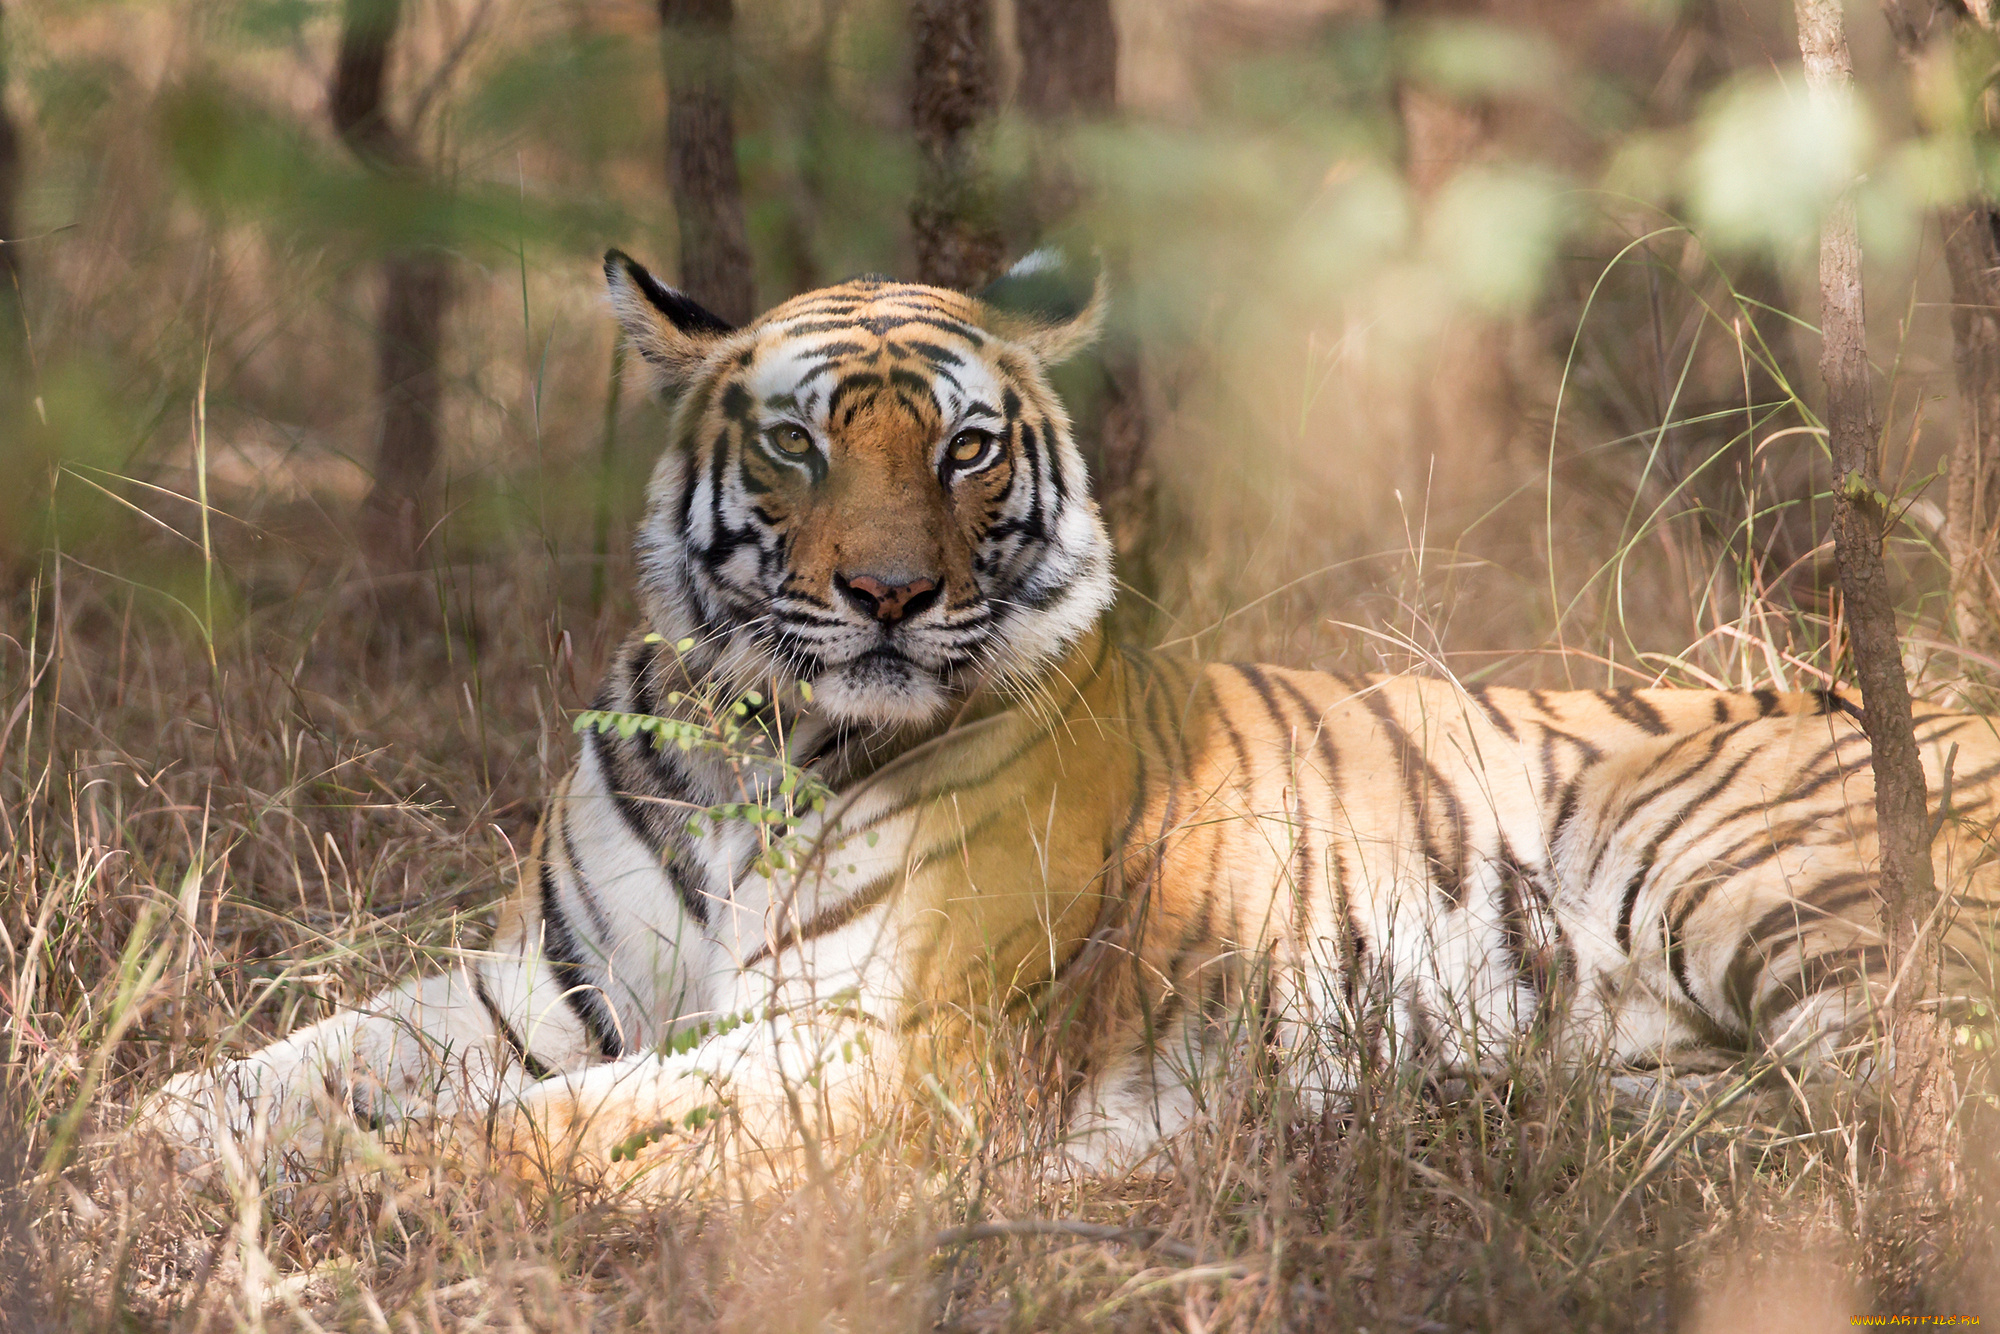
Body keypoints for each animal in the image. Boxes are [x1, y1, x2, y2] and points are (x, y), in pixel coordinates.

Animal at [148, 245, 2000, 1192]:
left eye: (965, 448)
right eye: (797, 442)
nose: (890, 592)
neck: (763, 736)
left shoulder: (882, 1040)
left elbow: (550, 1126)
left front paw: (377, 1189)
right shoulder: (549, 981)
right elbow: (290, 1062)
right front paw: (150, 1144)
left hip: (1722, 857)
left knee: (1913, 1119)